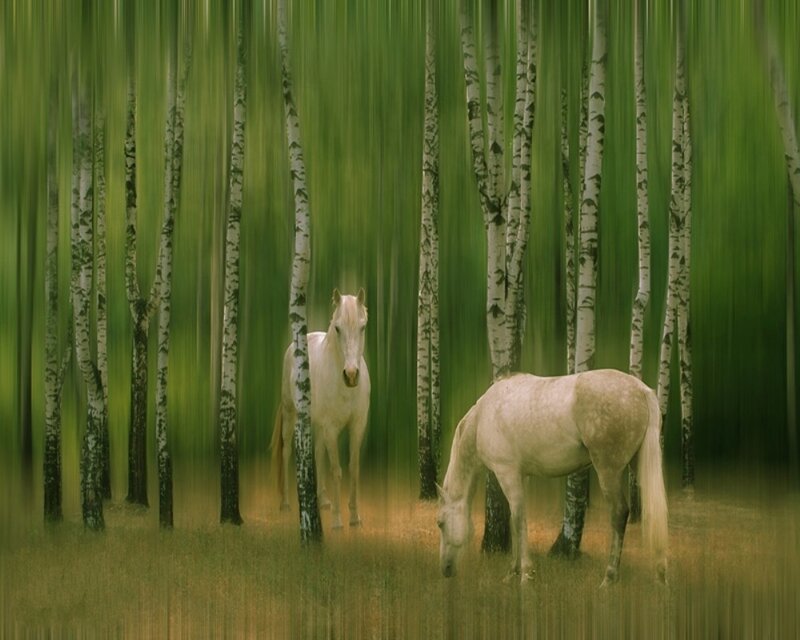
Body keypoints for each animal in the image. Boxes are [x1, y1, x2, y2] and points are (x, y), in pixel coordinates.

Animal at [271, 288, 370, 529]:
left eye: (362, 327)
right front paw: (337, 521)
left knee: (317, 452)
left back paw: (323, 499)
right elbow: (337, 471)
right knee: (287, 451)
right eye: (337, 328)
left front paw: (355, 517)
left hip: (316, 424)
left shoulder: (357, 426)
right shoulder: (331, 429)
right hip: (291, 414)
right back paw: (286, 503)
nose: (351, 375)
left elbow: (353, 468)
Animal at [436, 369, 668, 587]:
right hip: (639, 464)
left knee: (619, 513)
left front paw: (525, 575)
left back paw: (609, 579)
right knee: (655, 509)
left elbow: (518, 518)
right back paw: (660, 575)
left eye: (440, 523)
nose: (445, 570)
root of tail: (641, 390)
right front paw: (512, 573)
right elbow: (516, 519)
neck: (483, 418)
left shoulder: (506, 472)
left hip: (608, 470)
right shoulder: (521, 476)